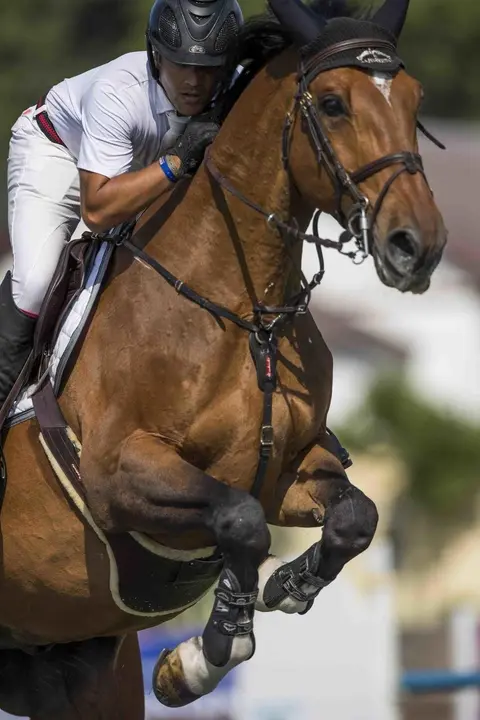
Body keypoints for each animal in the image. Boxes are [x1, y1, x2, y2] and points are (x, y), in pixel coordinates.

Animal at [0, 0, 447, 716]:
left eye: (414, 99)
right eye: (331, 104)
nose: (418, 243)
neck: (243, 311)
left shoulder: (289, 468)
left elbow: (352, 517)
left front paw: (286, 588)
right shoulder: (116, 473)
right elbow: (239, 519)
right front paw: (204, 655)